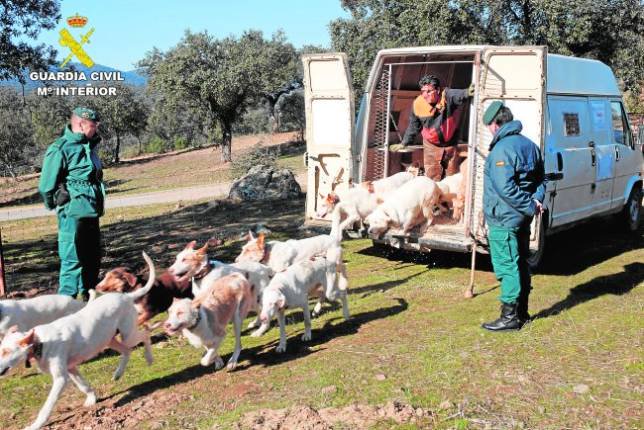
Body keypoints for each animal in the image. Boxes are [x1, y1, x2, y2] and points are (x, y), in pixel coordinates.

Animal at [0, 252, 157, 430]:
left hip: (128, 335)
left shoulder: (61, 379)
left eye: (6, 352)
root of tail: (126, 296)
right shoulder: (71, 368)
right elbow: (83, 385)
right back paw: (118, 373)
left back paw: (149, 358)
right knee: (127, 351)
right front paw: (92, 399)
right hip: (108, 340)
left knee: (145, 335)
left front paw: (36, 425)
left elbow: (47, 407)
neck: (41, 342)